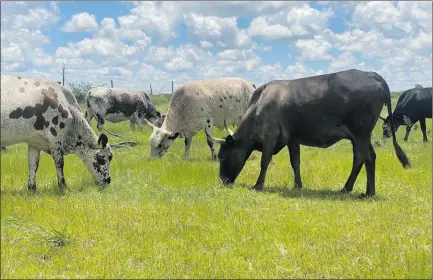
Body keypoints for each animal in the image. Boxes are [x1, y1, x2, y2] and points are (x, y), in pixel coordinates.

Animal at [205, 69, 408, 198]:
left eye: (223, 156)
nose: (223, 181)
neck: (258, 105)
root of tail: (371, 74)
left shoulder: (270, 134)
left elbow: (264, 161)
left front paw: (258, 185)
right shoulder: (292, 138)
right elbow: (295, 162)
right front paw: (298, 185)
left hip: (361, 133)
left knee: (369, 157)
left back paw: (369, 193)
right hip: (356, 137)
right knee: (358, 159)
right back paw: (346, 188)